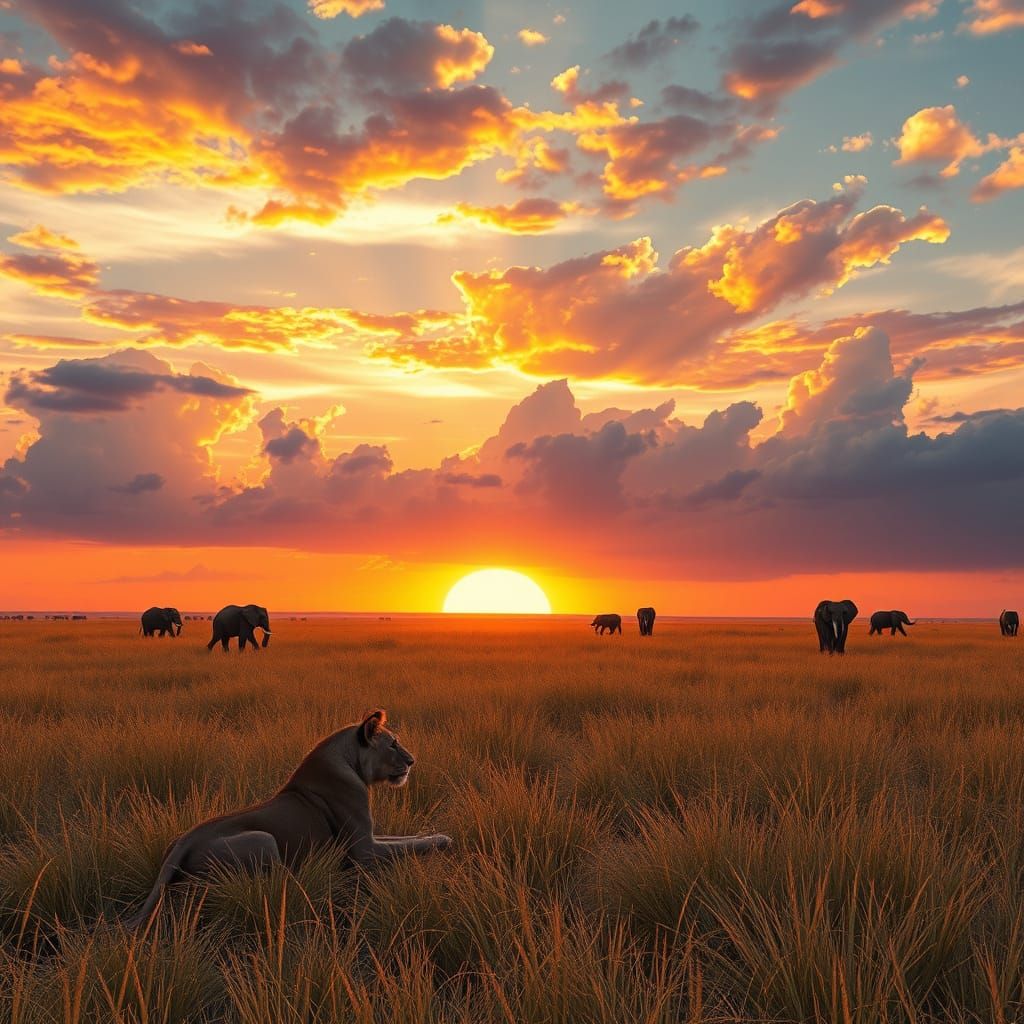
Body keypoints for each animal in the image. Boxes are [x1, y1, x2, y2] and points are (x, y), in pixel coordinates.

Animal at [124, 709, 451, 929]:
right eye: (393, 744)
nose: (412, 761)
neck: (351, 763)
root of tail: (184, 840)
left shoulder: (369, 838)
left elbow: (404, 838)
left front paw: (433, 832)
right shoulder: (363, 850)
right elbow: (406, 846)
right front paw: (444, 839)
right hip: (263, 839)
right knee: (280, 881)